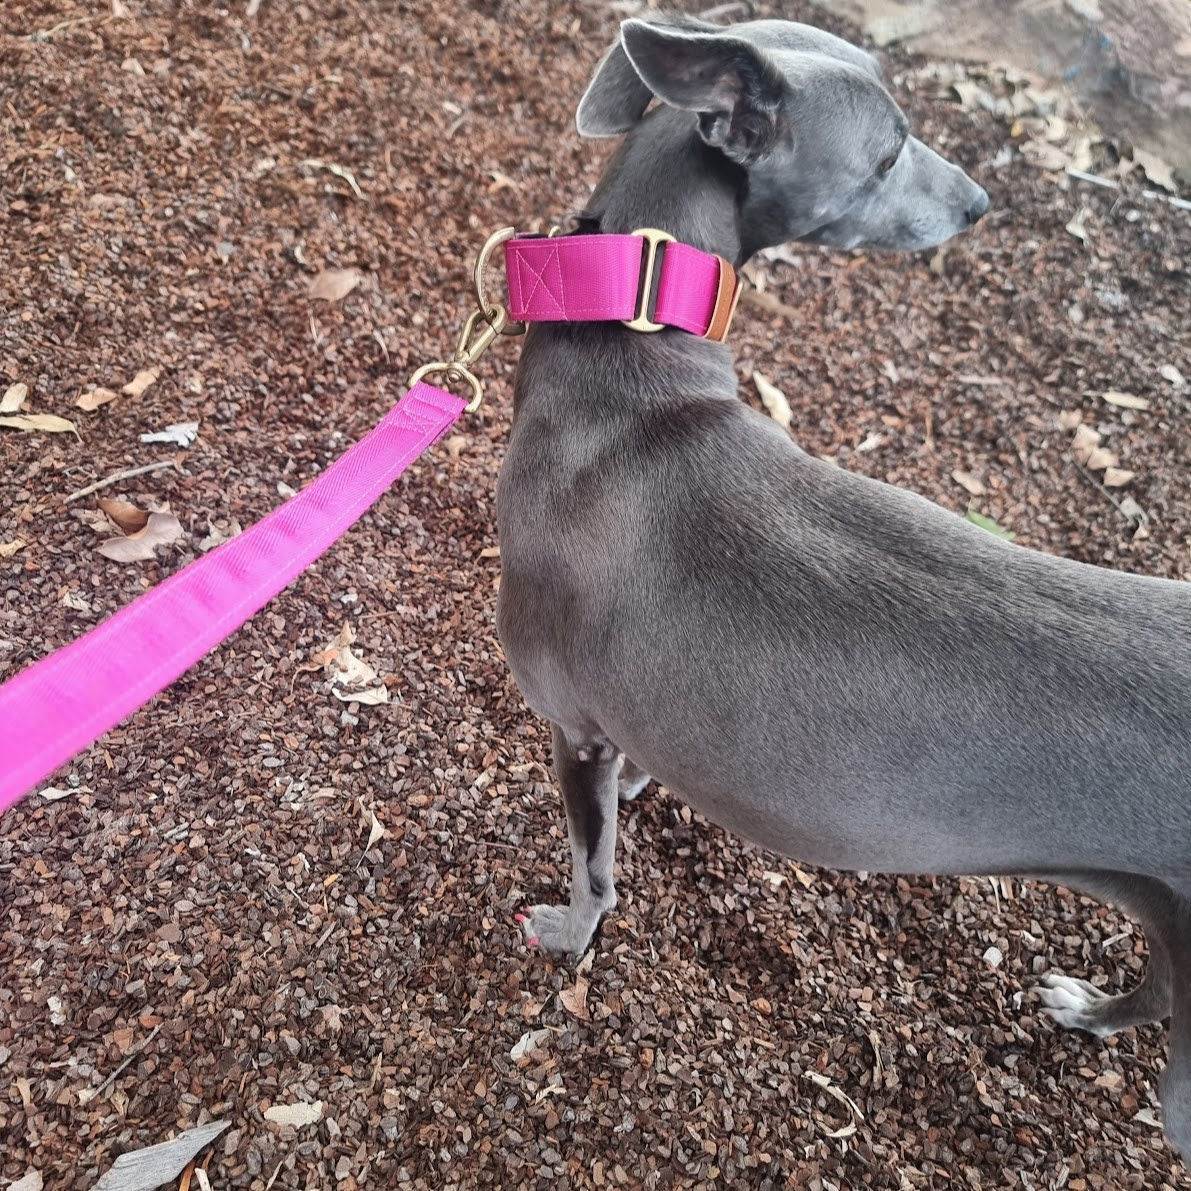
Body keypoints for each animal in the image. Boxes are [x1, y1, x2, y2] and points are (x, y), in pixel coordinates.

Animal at [493, 13, 1191, 1157]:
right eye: (885, 154)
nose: (979, 203)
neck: (637, 371)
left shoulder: (573, 725)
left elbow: (593, 867)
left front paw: (565, 935)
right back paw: (1085, 1007)